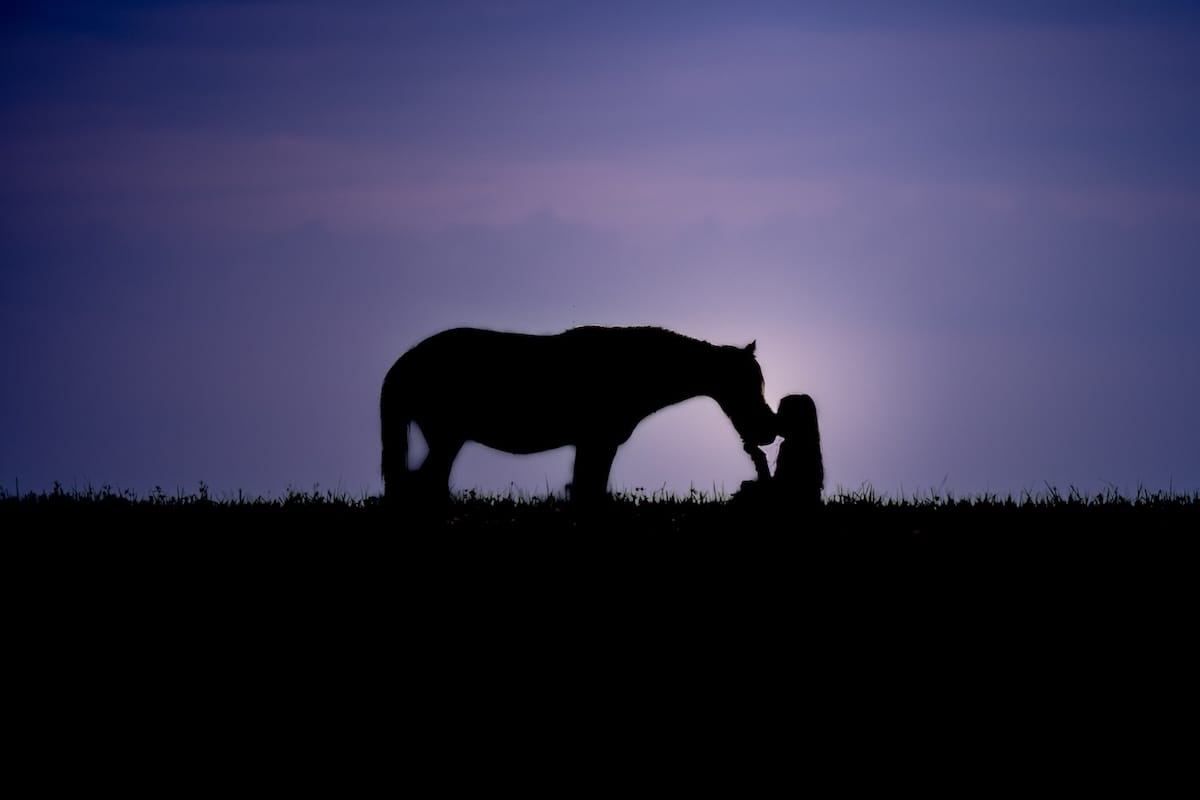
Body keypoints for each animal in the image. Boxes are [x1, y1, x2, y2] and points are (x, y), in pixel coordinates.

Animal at [380, 326, 778, 505]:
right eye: (746, 385)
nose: (768, 431)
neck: (635, 369)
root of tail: (405, 363)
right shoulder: (597, 442)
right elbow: (589, 489)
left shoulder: (594, 445)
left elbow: (587, 487)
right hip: (446, 435)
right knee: (422, 484)